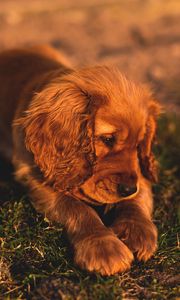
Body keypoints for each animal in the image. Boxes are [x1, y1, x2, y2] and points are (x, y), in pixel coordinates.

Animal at [0, 45, 160, 276]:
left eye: (139, 145)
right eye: (107, 139)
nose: (128, 188)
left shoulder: (139, 173)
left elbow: (138, 197)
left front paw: (137, 231)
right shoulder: (36, 177)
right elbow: (77, 208)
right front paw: (103, 246)